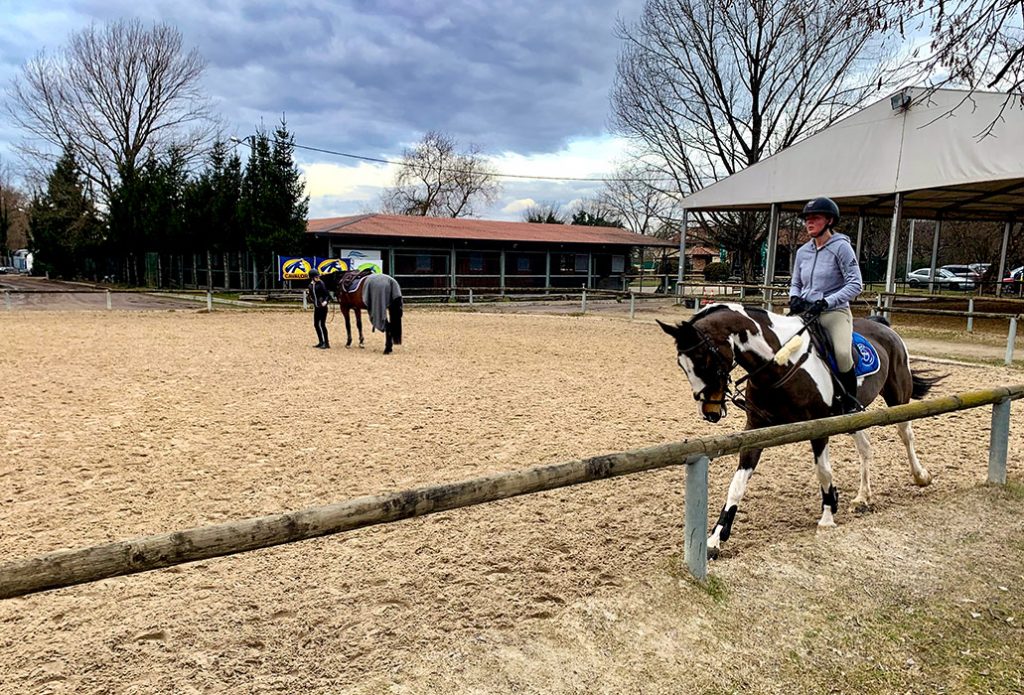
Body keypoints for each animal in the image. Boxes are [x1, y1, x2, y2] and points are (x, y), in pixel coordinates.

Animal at [655, 305, 942, 560]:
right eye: (681, 365)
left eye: (703, 359)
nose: (710, 412)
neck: (778, 366)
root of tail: (883, 326)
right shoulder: (755, 429)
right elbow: (736, 485)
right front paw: (715, 539)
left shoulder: (819, 428)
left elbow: (823, 471)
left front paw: (827, 516)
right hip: (851, 416)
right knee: (865, 447)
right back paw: (862, 498)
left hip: (897, 397)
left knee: (906, 435)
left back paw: (920, 476)